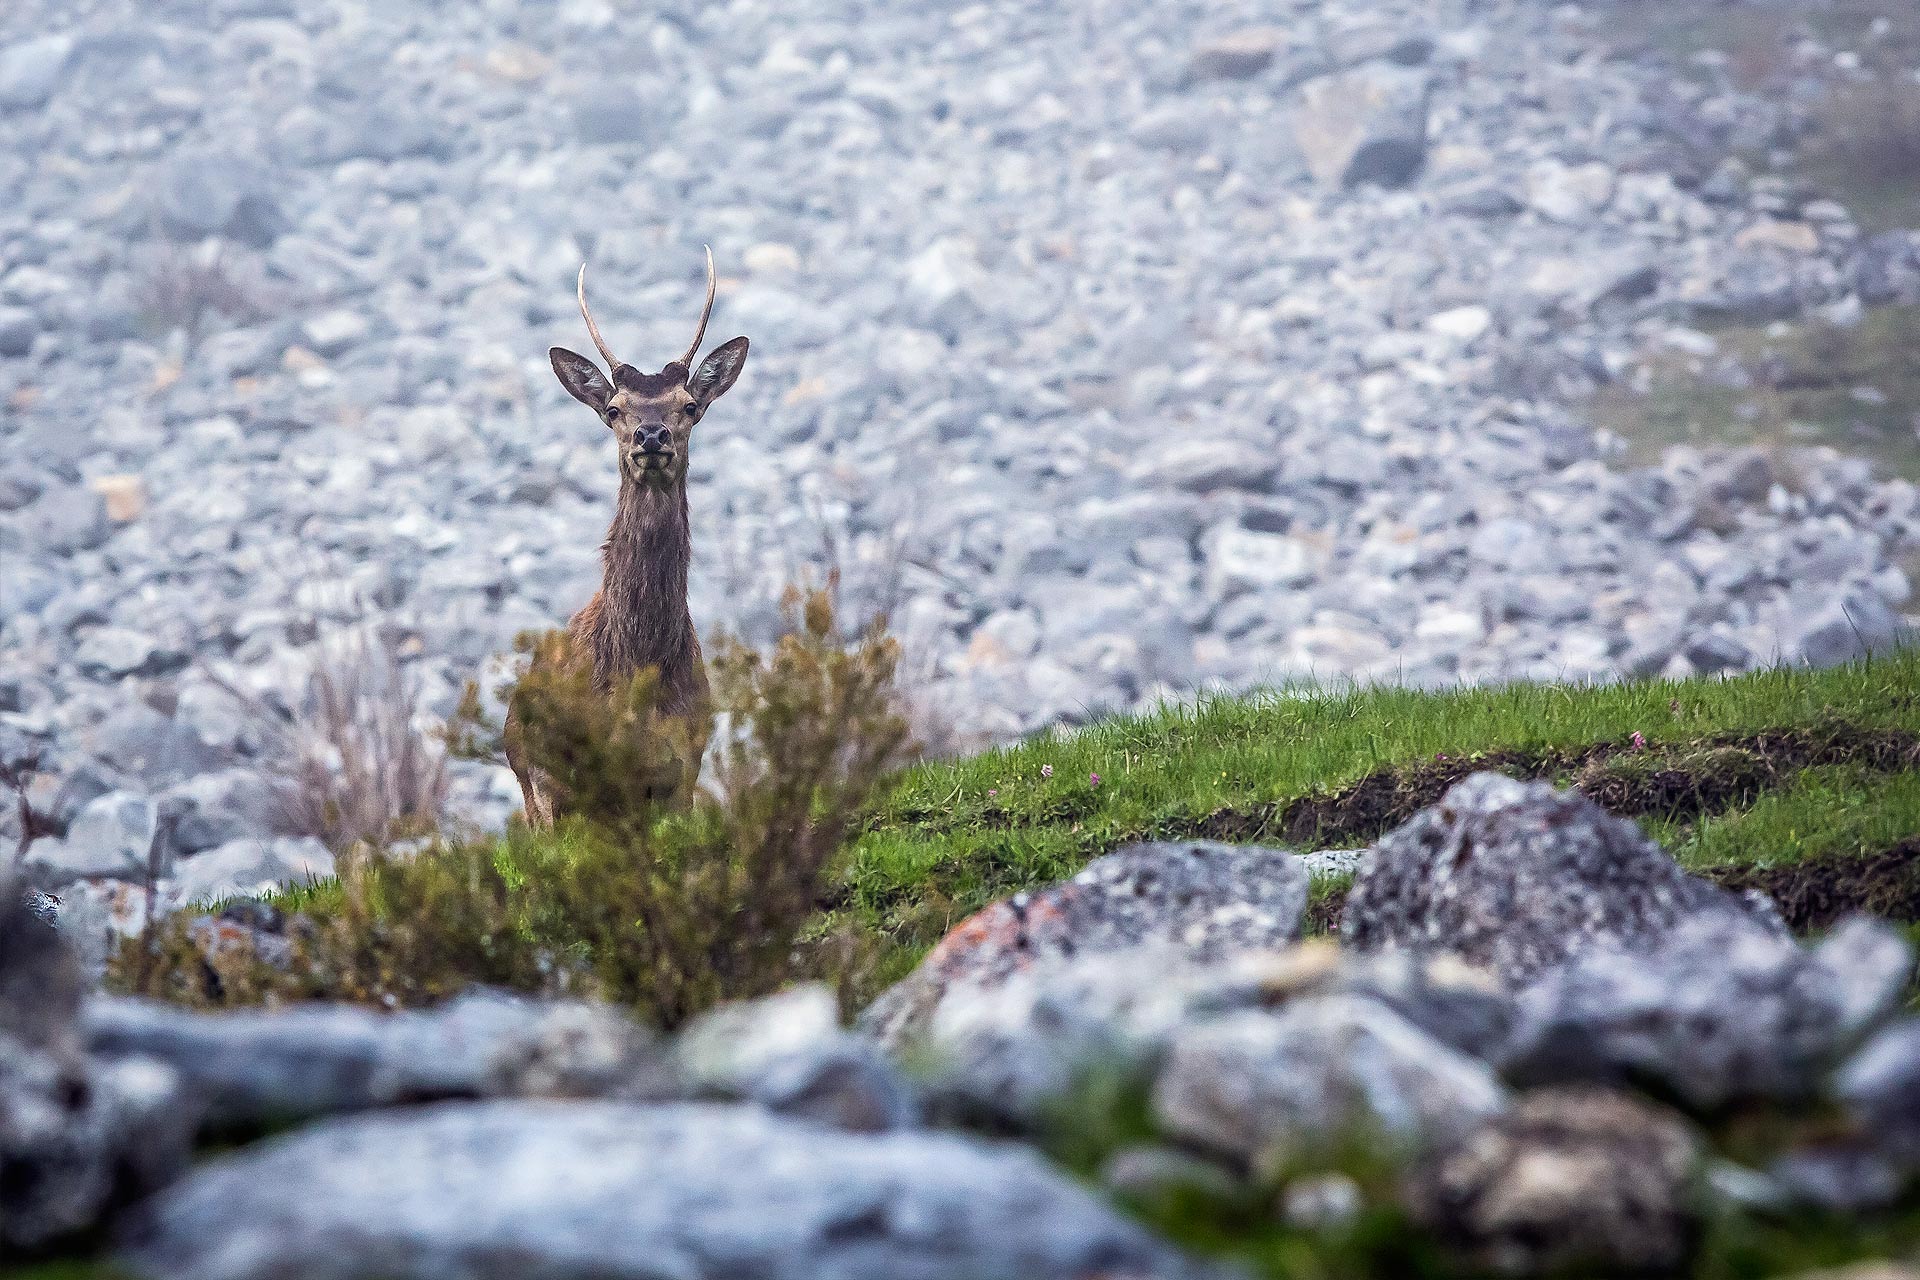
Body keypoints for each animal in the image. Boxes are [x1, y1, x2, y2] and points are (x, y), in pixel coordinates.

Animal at [506, 249, 744, 832]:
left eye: (689, 405)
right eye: (614, 409)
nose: (651, 434)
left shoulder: (684, 767)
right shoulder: (554, 787)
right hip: (530, 788)